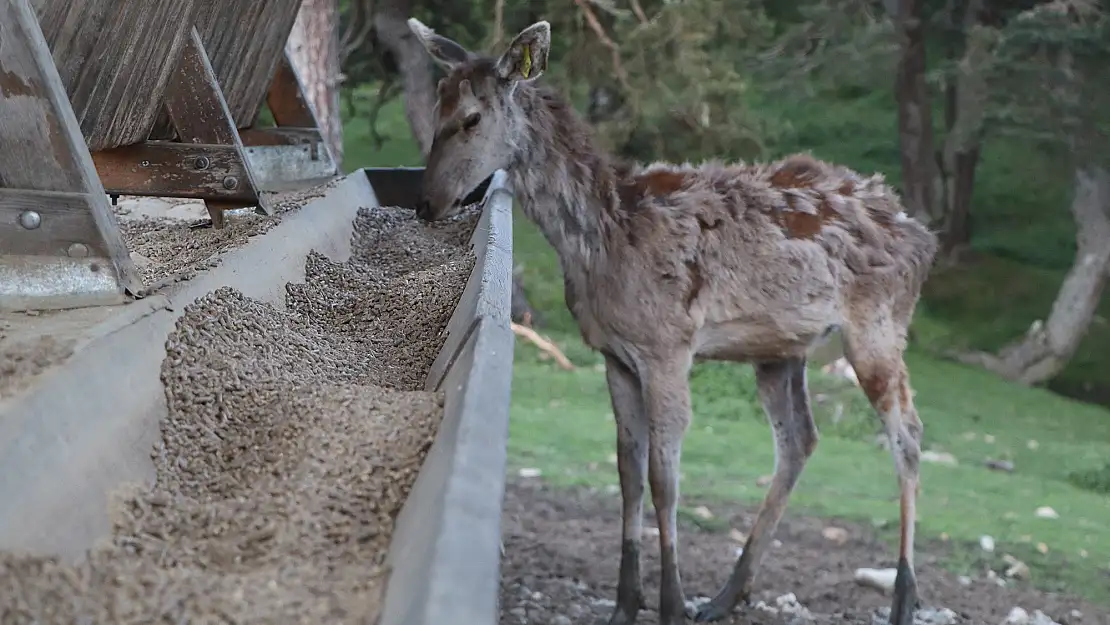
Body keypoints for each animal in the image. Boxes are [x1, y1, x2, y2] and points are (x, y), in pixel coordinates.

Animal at [406, 17, 936, 621]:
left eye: (471, 117)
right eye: (438, 105)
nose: (426, 203)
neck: (603, 241)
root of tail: (923, 236)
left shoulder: (667, 346)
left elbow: (665, 479)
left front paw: (670, 603)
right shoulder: (614, 355)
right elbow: (628, 472)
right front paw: (626, 603)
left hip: (879, 322)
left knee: (908, 435)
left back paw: (903, 599)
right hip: (781, 348)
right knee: (800, 438)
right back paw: (728, 595)